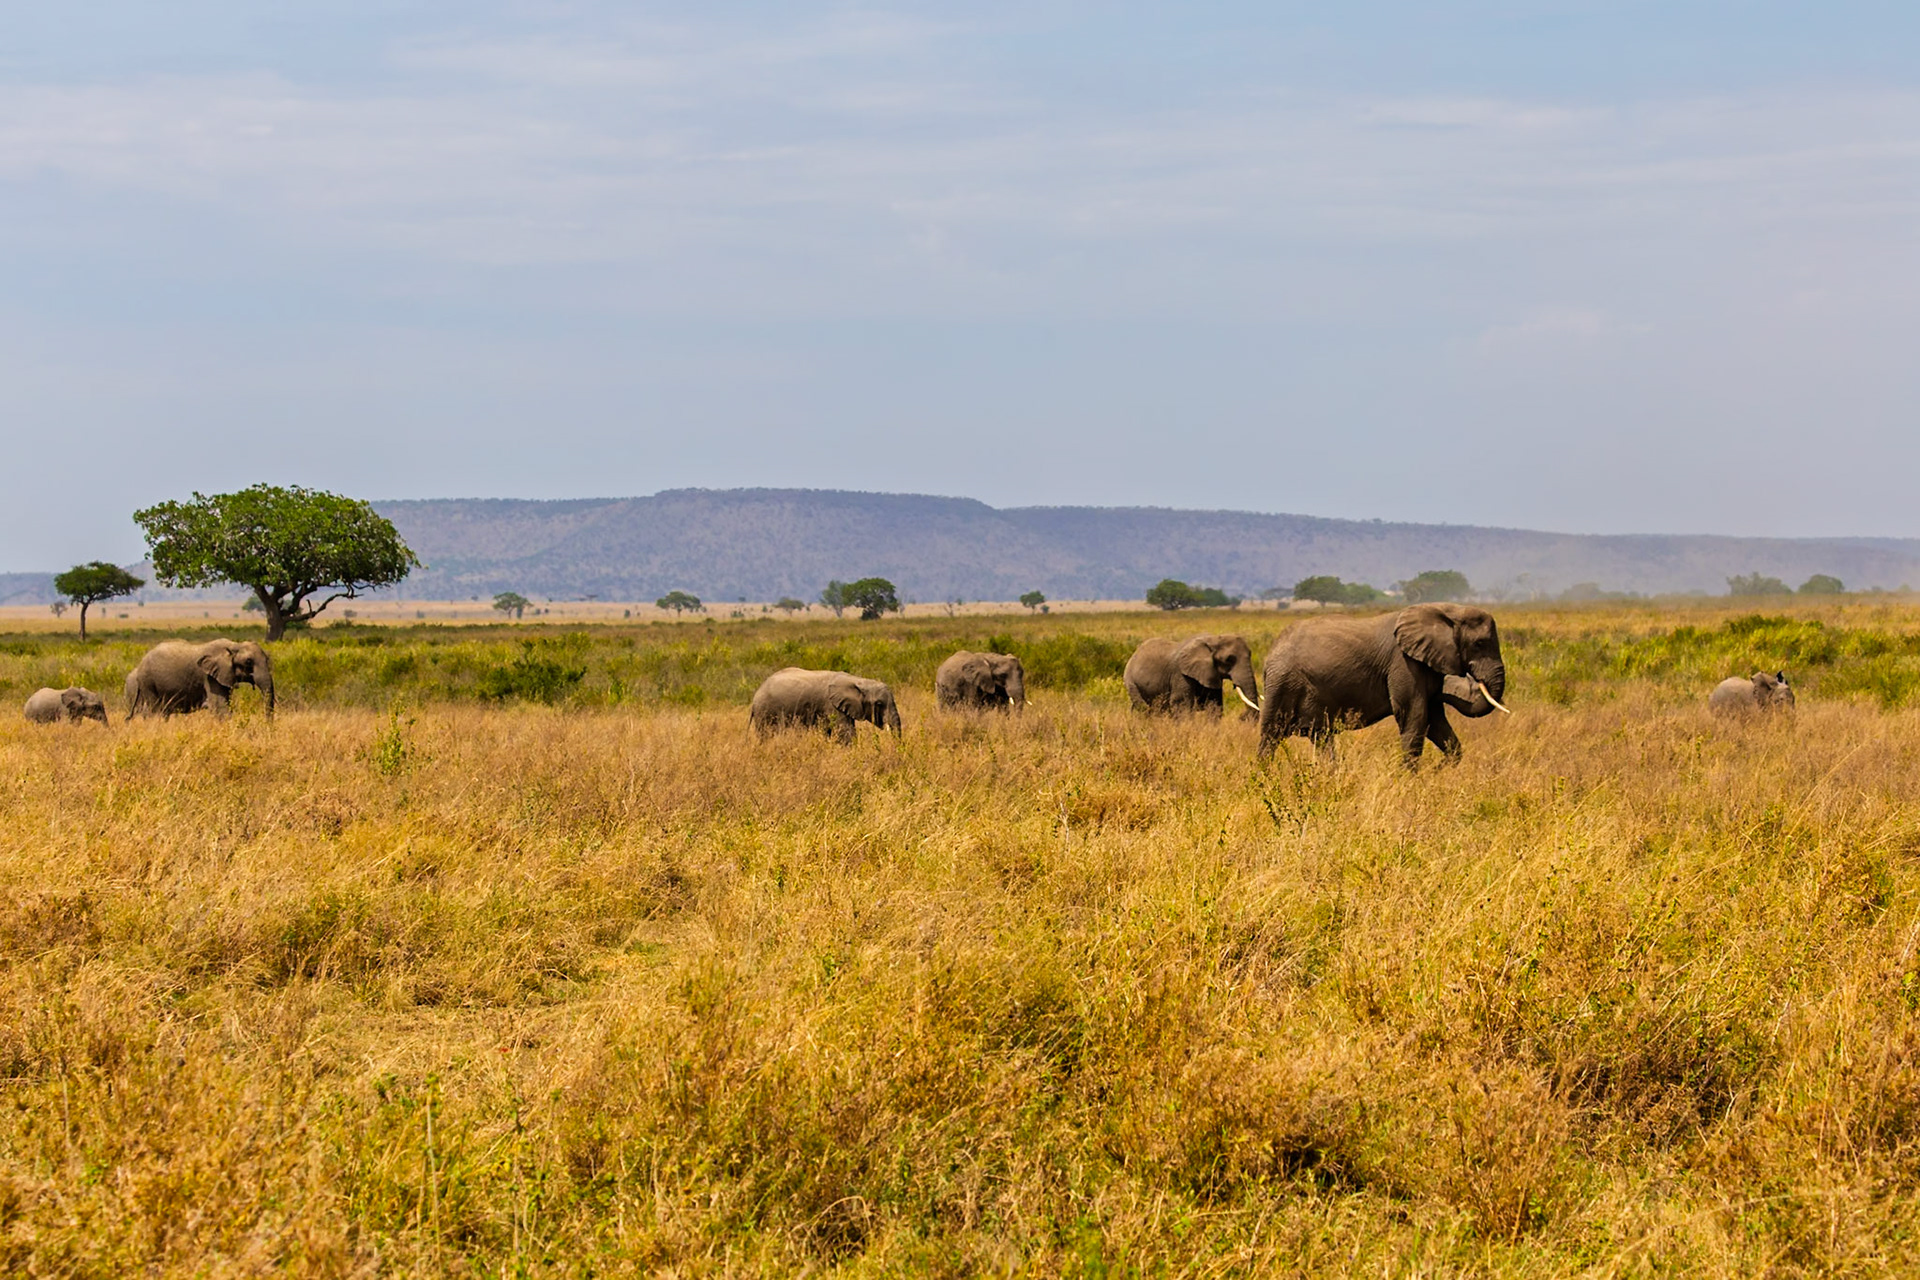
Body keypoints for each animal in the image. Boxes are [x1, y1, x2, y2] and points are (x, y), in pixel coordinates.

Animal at [125, 639, 275, 719]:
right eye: (249, 661)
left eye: (267, 659)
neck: (234, 645)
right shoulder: (209, 677)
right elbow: (220, 707)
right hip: (148, 682)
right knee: (155, 711)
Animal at [1123, 635, 1260, 715]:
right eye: (1229, 660)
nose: (1242, 717)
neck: (1213, 639)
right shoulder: (1180, 674)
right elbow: (1182, 704)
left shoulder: (1210, 672)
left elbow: (1214, 704)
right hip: (1131, 681)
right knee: (1143, 708)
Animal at [1257, 604, 1508, 765]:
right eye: (1479, 643)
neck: (1448, 610)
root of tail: (1270, 653)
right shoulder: (1403, 663)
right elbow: (1414, 716)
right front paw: (1408, 782)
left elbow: (1435, 721)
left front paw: (1439, 771)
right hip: (1281, 683)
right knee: (1269, 737)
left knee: (1321, 737)